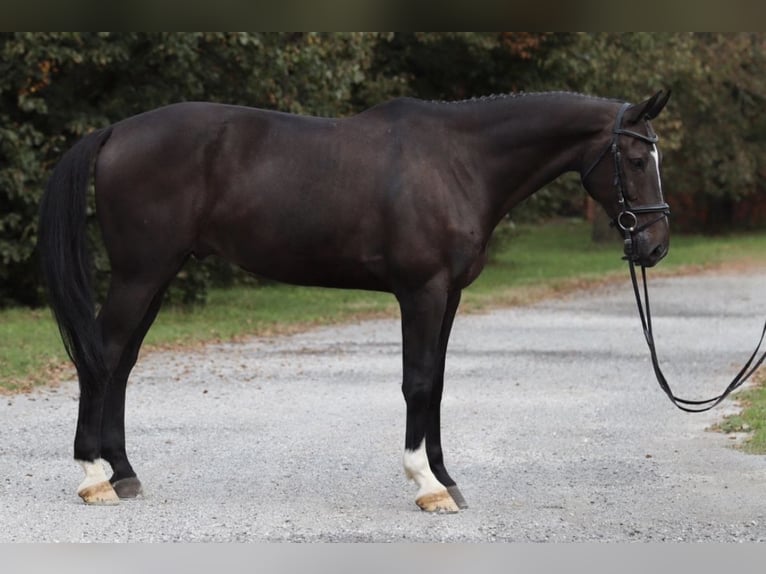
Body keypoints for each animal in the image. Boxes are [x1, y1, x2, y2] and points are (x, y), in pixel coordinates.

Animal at [39, 90, 668, 512]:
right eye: (637, 161)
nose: (655, 246)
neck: (458, 162)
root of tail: (115, 131)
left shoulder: (449, 296)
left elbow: (438, 383)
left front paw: (446, 478)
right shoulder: (421, 292)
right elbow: (418, 382)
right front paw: (426, 484)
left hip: (157, 274)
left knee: (120, 364)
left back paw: (123, 472)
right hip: (139, 274)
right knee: (102, 359)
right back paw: (93, 477)